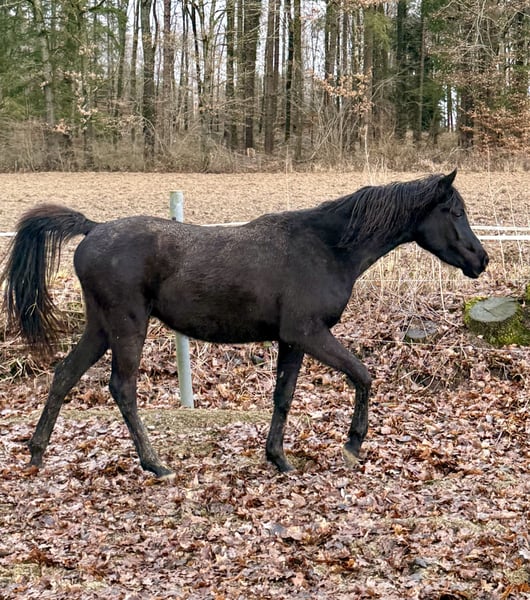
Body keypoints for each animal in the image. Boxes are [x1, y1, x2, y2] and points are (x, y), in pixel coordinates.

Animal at [1, 170, 488, 478]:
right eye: (456, 212)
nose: (481, 260)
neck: (327, 247)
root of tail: (93, 228)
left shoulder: (292, 341)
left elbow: (283, 397)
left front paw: (279, 459)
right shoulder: (310, 333)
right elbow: (363, 375)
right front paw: (352, 446)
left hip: (101, 327)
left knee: (64, 375)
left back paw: (37, 454)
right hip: (126, 327)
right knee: (122, 388)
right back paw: (155, 464)